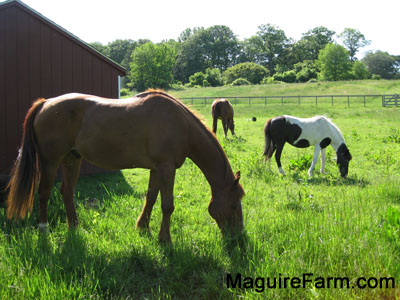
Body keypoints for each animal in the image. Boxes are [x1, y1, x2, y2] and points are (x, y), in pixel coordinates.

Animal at [6, 89, 244, 241]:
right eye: (234, 204)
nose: (239, 238)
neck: (180, 125)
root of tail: (45, 103)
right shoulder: (166, 168)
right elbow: (167, 205)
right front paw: (165, 239)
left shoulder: (156, 169)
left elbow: (151, 198)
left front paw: (143, 227)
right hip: (50, 160)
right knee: (44, 192)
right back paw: (43, 228)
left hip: (72, 158)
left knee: (67, 191)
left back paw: (74, 225)